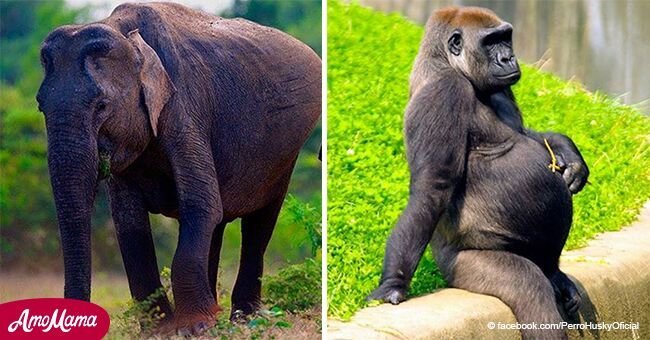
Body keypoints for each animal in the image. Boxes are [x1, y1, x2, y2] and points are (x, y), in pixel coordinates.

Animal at [35, 0, 318, 334]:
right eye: (40, 106)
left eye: (102, 105)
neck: (124, 32)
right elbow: (129, 222)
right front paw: (159, 330)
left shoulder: (184, 107)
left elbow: (201, 204)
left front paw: (193, 328)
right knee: (218, 224)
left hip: (284, 153)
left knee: (259, 220)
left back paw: (244, 319)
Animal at [370, 5, 588, 340]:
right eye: (490, 42)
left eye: (505, 38)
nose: (509, 58)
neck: (444, 62)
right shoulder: (443, 92)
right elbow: (432, 188)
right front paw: (393, 283)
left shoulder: (503, 88)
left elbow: (528, 133)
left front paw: (568, 153)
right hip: (463, 265)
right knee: (531, 288)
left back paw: (556, 275)